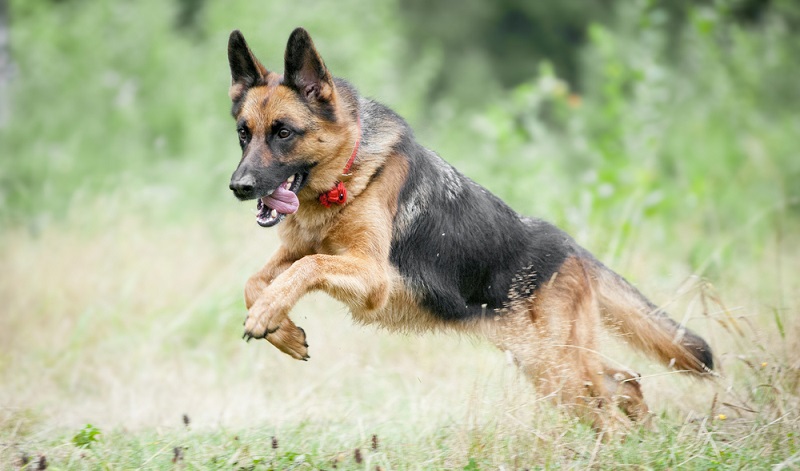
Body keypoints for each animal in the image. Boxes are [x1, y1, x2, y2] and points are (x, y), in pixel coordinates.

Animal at [223, 27, 712, 430]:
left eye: (284, 133)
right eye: (244, 134)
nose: (239, 187)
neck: (348, 173)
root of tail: (569, 247)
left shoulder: (371, 276)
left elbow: (306, 269)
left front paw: (267, 316)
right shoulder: (297, 253)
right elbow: (257, 280)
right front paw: (282, 331)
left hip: (558, 369)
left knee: (610, 409)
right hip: (544, 363)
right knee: (625, 382)